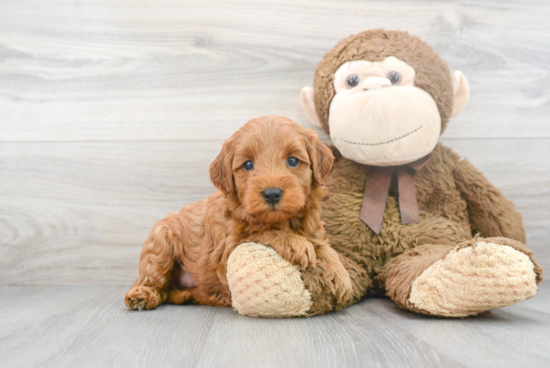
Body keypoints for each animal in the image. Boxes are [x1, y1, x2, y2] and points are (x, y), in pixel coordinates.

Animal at [125, 115, 354, 310]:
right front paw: (294, 243)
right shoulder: (226, 249)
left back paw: (200, 296)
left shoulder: (313, 229)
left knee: (174, 292)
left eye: (293, 161)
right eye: (248, 164)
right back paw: (142, 295)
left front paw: (341, 276)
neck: (281, 221)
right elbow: (261, 233)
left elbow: (325, 247)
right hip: (161, 242)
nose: (272, 194)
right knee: (153, 280)